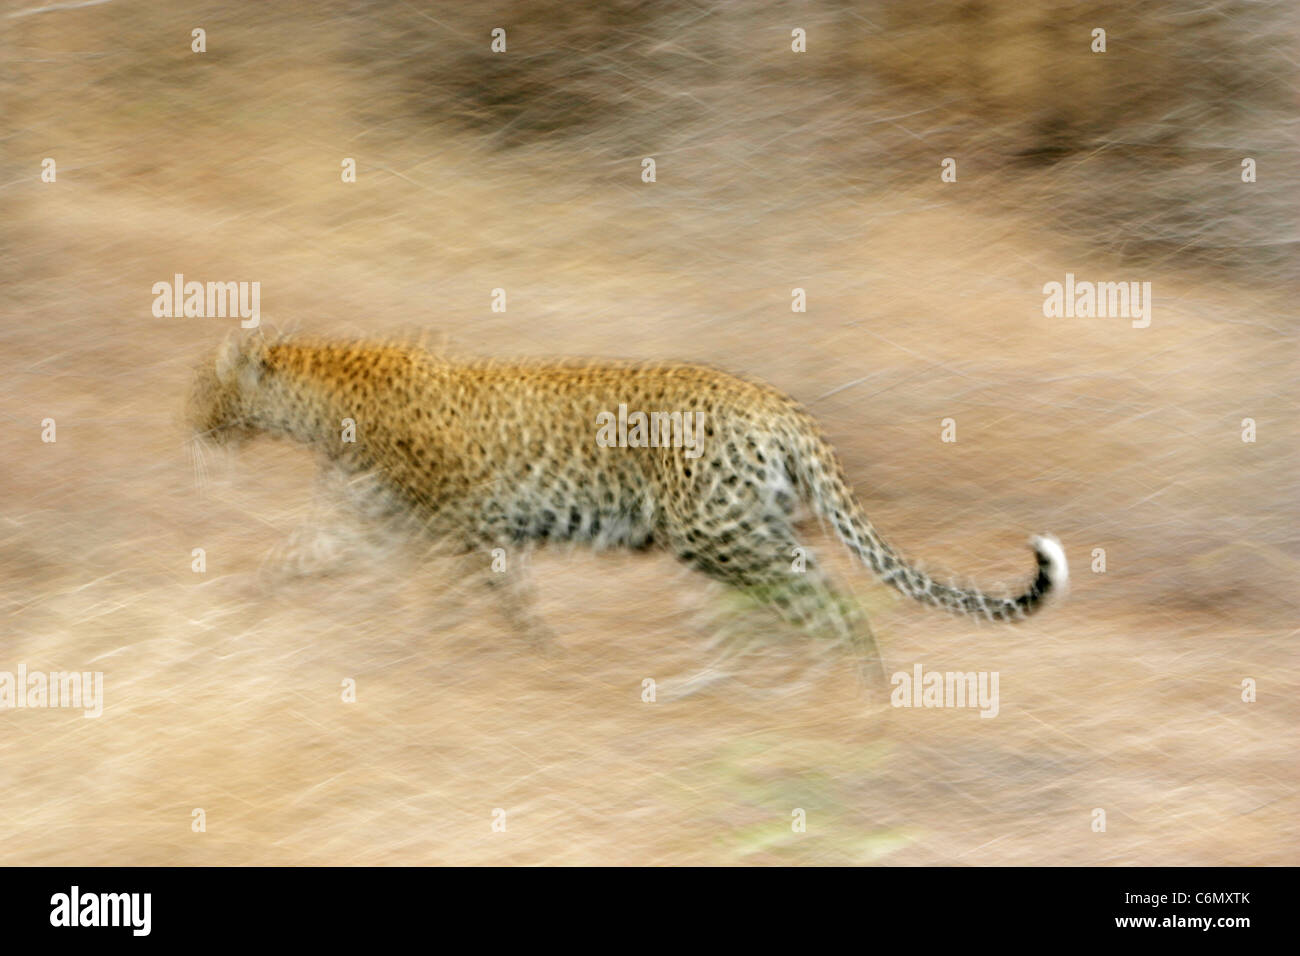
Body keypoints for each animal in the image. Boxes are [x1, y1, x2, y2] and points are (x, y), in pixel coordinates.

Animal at [186, 334, 1067, 682]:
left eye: (203, 387)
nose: (187, 424)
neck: (320, 405)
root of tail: (778, 403)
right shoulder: (378, 525)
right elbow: (296, 561)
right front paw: (237, 613)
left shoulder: (459, 529)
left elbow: (457, 601)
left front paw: (432, 657)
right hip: (738, 533)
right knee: (775, 608)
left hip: (720, 533)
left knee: (823, 598)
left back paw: (839, 693)